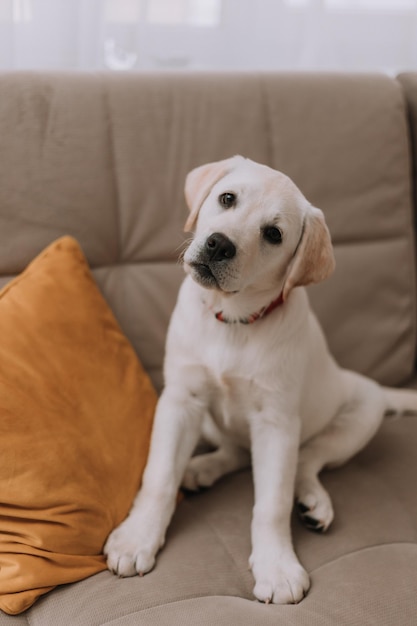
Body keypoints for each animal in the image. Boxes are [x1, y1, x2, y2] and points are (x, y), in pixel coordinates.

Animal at [104, 154, 416, 604]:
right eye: (226, 198)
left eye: (273, 234)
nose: (218, 244)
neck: (233, 321)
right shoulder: (181, 400)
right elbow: (159, 477)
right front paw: (137, 538)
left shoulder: (277, 422)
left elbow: (272, 503)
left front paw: (277, 567)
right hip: (211, 423)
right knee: (235, 451)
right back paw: (202, 468)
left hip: (359, 417)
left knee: (307, 462)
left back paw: (313, 502)